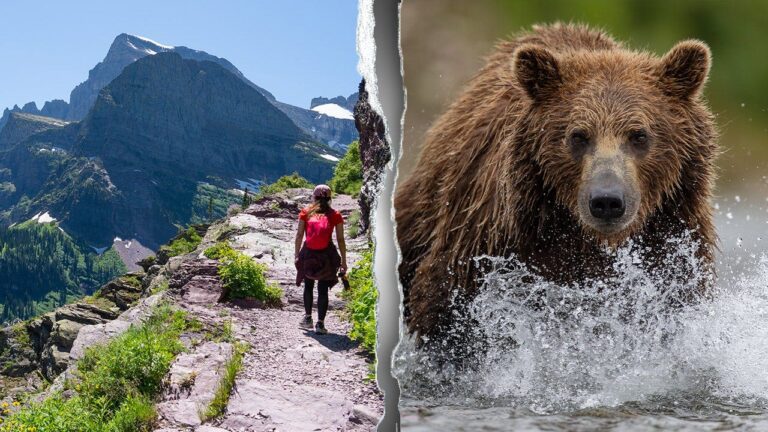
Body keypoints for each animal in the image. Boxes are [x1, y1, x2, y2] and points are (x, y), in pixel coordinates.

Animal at [395, 23, 718, 347]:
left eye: (639, 135)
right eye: (578, 135)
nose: (607, 201)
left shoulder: (672, 245)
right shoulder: (487, 243)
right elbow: (449, 314)